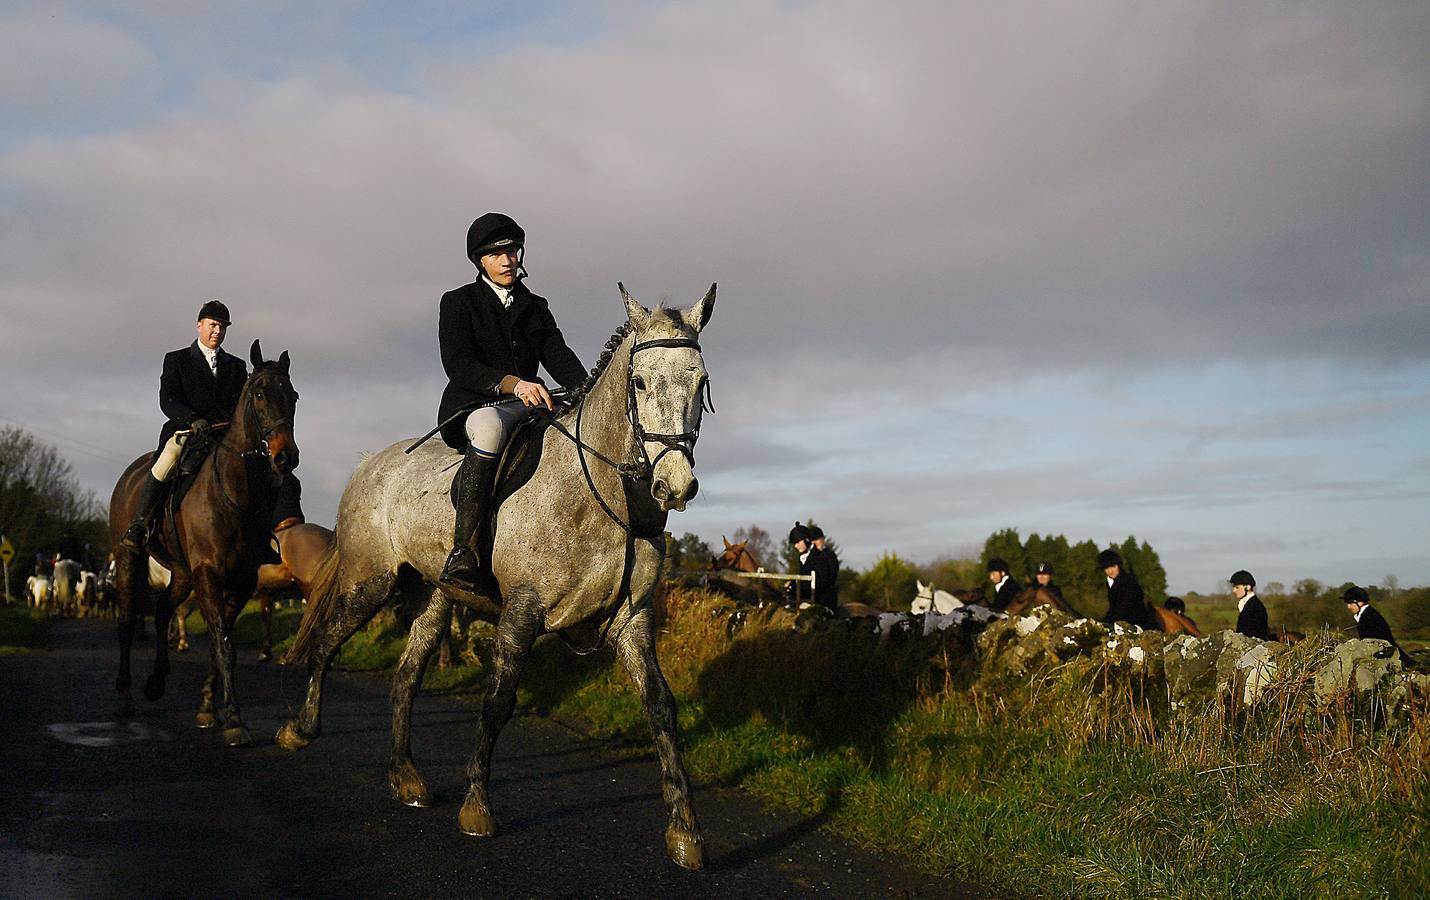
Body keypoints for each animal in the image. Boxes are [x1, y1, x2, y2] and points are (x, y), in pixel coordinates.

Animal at [107, 340, 299, 746]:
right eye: (259, 393)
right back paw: (126, 696)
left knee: (163, 611)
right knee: (128, 622)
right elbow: (223, 644)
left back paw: (156, 681)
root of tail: (131, 473)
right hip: (130, 560)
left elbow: (219, 644)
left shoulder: (241, 580)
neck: (234, 489)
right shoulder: (210, 573)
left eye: (293, 396)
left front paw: (210, 707)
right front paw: (234, 719)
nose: (285, 456)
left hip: (181, 573)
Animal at [278, 285, 715, 870]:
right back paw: (300, 731)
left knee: (406, 676)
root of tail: (371, 463)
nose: (675, 487)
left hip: (434, 597)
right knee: (327, 643)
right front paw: (477, 808)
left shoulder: (631, 620)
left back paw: (406, 776)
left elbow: (662, 709)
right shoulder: (523, 611)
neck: (600, 493)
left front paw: (685, 831)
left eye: (701, 381)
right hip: (371, 582)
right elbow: (498, 702)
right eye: (640, 382)